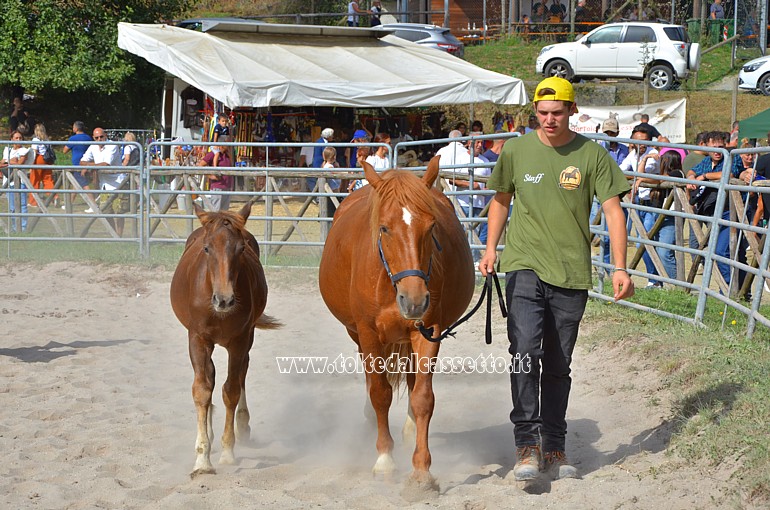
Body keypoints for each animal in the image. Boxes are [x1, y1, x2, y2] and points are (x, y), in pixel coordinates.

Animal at [170, 201, 278, 476]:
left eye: (241, 249)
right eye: (207, 248)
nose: (224, 300)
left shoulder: (239, 340)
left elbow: (231, 390)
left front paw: (228, 452)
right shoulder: (197, 339)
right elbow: (202, 389)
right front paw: (202, 459)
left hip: (247, 338)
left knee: (241, 374)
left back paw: (243, 425)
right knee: (210, 376)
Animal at [318, 156, 474, 490]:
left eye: (431, 227)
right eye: (384, 228)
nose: (414, 299)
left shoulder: (429, 332)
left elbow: (423, 398)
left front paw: (421, 470)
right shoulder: (367, 333)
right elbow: (380, 393)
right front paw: (384, 460)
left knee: (414, 384)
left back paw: (410, 431)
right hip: (357, 335)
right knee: (372, 381)